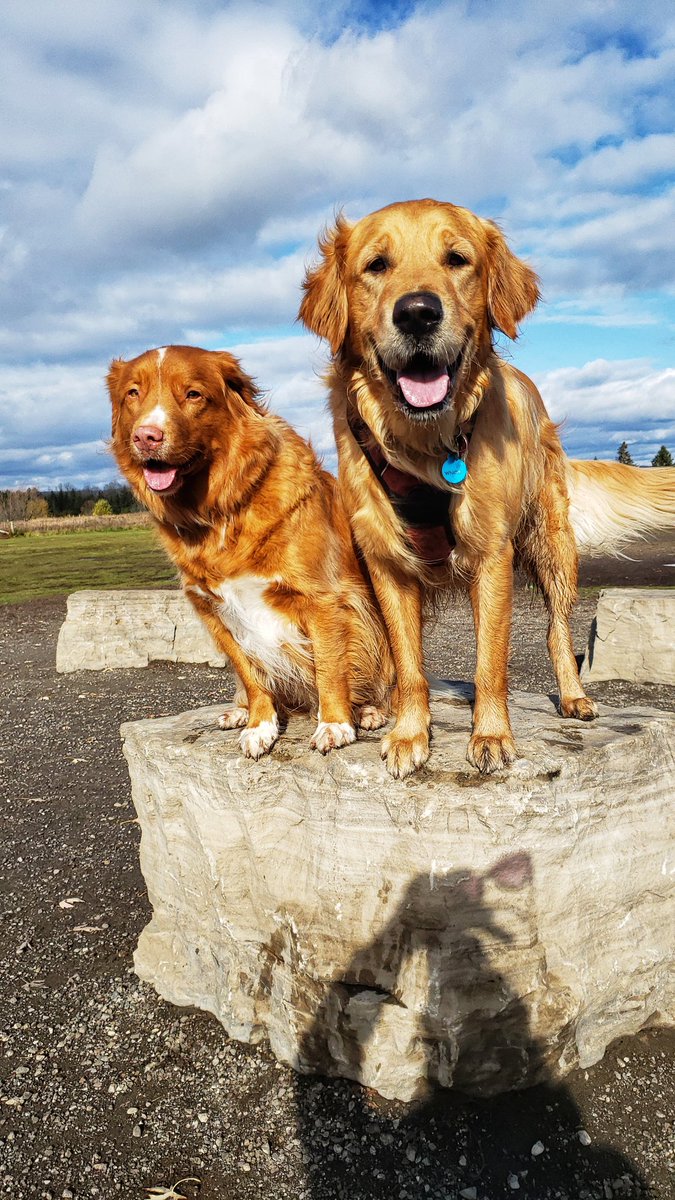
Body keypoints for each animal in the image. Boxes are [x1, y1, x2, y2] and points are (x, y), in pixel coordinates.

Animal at [107, 348, 391, 758]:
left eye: (193, 394)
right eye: (133, 393)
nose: (146, 436)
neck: (222, 510)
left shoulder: (324, 599)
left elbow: (330, 666)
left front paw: (335, 724)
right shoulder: (213, 612)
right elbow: (250, 673)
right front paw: (260, 725)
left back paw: (370, 710)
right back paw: (239, 711)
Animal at [299, 196, 672, 777]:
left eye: (457, 259)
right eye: (376, 265)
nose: (418, 312)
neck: (426, 443)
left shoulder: (492, 553)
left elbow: (490, 661)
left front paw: (492, 734)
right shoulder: (386, 562)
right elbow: (409, 665)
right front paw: (410, 734)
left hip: (551, 544)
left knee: (557, 630)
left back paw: (573, 696)